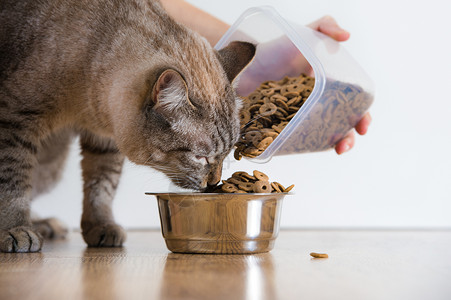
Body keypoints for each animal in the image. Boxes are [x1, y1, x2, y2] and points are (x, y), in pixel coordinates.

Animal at [0, 0, 254, 253]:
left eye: (226, 155)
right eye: (200, 157)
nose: (214, 183)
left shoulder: (104, 140)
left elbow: (101, 187)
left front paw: (101, 226)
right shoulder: (14, 122)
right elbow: (13, 182)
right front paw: (16, 229)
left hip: (51, 164)